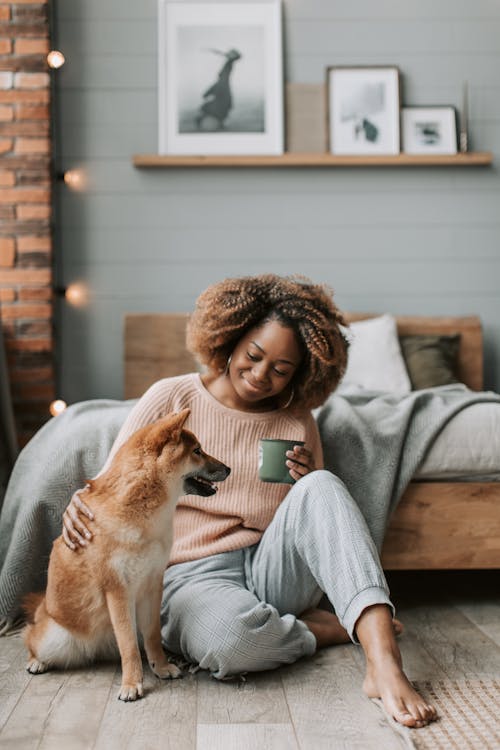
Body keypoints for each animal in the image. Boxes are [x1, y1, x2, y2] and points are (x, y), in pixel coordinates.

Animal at [24, 408, 231, 704]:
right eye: (198, 451)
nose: (229, 468)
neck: (145, 514)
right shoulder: (118, 590)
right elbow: (129, 645)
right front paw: (132, 684)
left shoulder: (153, 584)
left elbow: (152, 636)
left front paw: (161, 667)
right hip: (54, 639)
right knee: (30, 635)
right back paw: (36, 661)